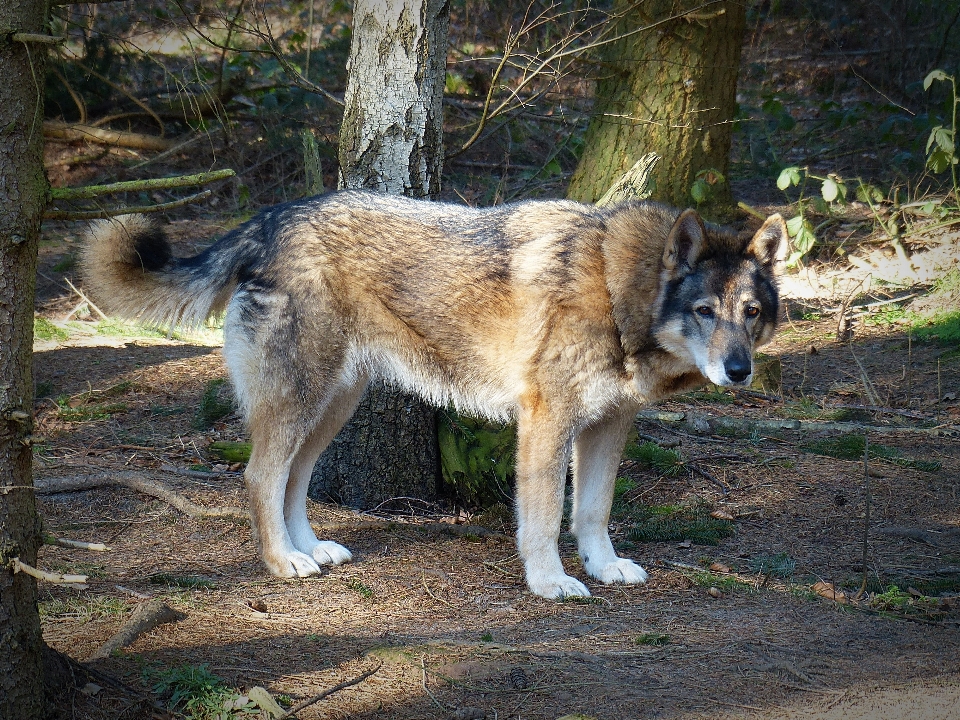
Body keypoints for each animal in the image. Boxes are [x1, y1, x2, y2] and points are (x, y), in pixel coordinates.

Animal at [82, 190, 788, 596]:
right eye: (704, 310)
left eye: (750, 312)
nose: (739, 371)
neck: (618, 290)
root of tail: (270, 219)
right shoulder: (546, 423)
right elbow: (541, 519)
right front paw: (550, 582)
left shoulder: (609, 426)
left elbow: (592, 511)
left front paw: (604, 567)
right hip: (302, 401)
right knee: (260, 477)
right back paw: (282, 564)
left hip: (334, 406)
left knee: (294, 480)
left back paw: (311, 550)